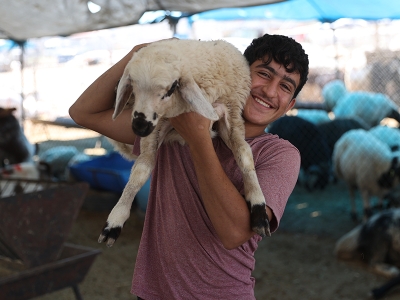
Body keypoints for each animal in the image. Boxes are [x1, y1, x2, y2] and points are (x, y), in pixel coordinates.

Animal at [99, 38, 270, 247]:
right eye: (133, 86)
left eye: (172, 88)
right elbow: (141, 171)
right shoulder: (158, 126)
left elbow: (244, 155)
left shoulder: (232, 111)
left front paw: (259, 209)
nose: (139, 126)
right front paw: (115, 221)